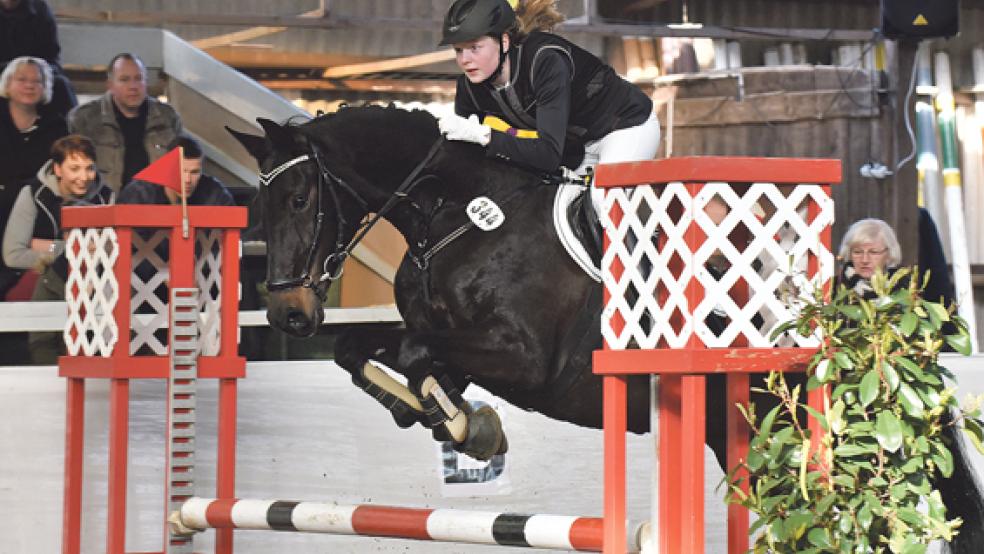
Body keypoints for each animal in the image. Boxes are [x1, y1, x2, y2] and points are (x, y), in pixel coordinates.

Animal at [231, 105, 984, 548]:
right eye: (257, 203)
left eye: (298, 198)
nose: (289, 313)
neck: (457, 217)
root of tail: (867, 323)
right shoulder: (435, 331)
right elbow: (365, 348)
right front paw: (447, 416)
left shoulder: (525, 358)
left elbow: (419, 354)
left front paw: (466, 424)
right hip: (738, 435)